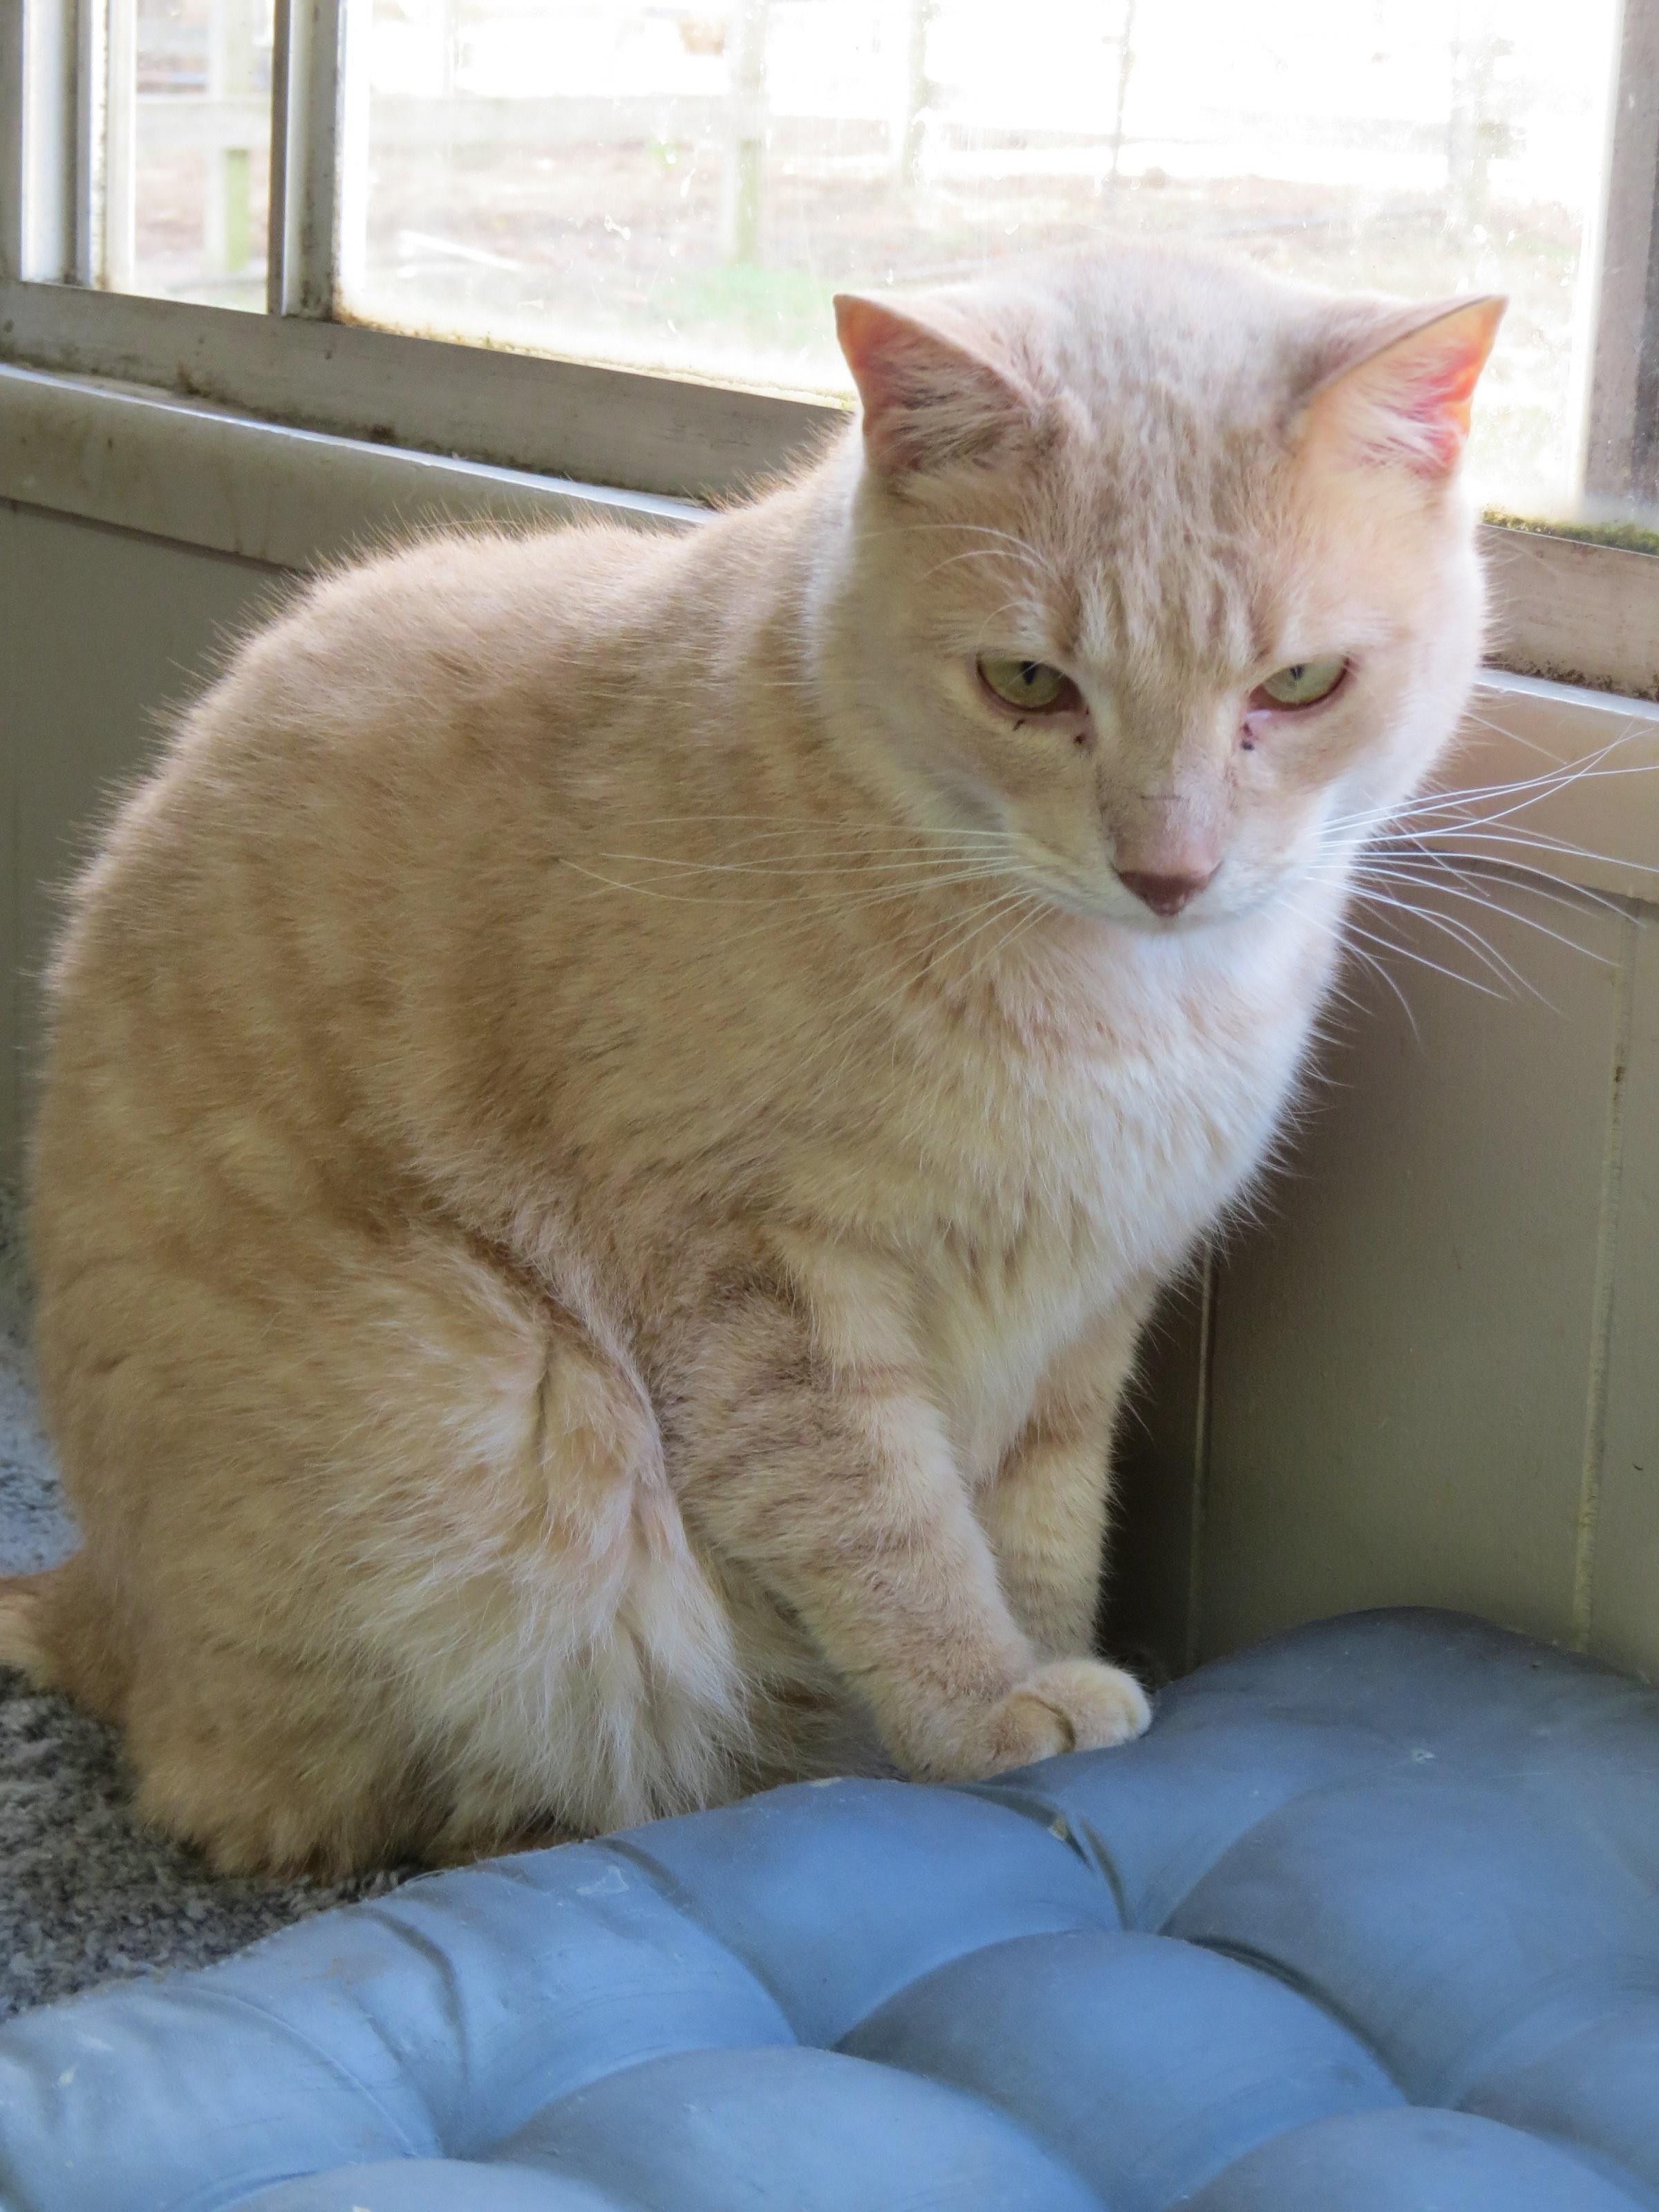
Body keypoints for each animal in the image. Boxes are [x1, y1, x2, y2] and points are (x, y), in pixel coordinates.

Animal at [0, 242, 1504, 1875]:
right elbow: (889, 1527)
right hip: (490, 1408)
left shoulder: (1092, 1303)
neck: (1129, 1007)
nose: (1169, 871)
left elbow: (1044, 1522)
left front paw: (1052, 1661)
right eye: (1030, 684)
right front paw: (987, 1709)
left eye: (1296, 686)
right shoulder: (761, 1286)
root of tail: (101, 1601)